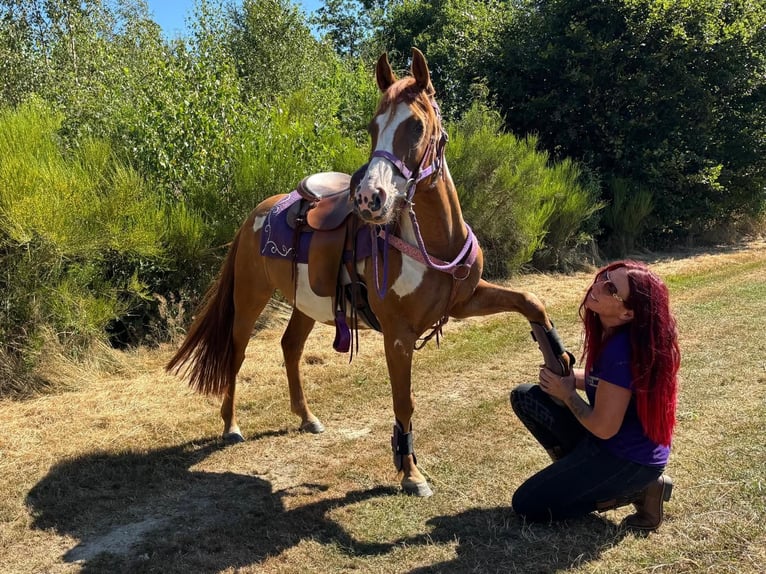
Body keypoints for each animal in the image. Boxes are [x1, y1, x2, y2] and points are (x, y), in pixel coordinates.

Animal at [166, 48, 572, 497]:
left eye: (416, 125)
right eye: (373, 126)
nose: (369, 198)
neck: (433, 244)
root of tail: (259, 211)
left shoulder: (466, 300)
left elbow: (530, 302)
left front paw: (558, 359)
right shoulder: (398, 335)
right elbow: (404, 402)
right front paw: (411, 473)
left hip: (306, 305)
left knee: (290, 347)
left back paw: (307, 418)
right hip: (250, 298)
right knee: (236, 354)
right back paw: (232, 425)